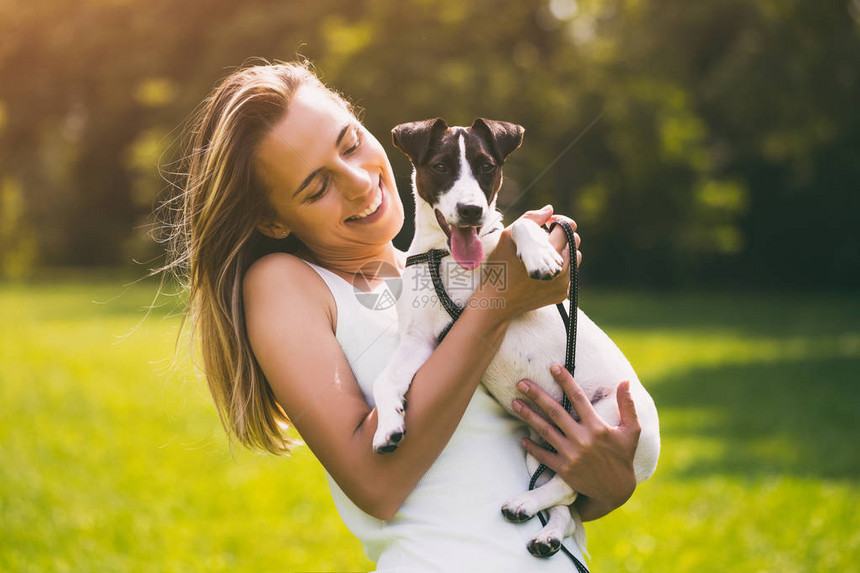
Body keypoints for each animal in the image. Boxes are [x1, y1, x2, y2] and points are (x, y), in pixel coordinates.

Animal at [370, 118, 660, 556]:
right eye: (440, 166)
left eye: (487, 166)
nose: (471, 210)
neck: (447, 256)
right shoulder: (420, 341)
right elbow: (384, 380)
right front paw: (388, 425)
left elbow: (521, 222)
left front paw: (541, 255)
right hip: (538, 447)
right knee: (566, 502)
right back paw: (543, 529)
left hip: (605, 421)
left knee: (569, 486)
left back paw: (524, 505)